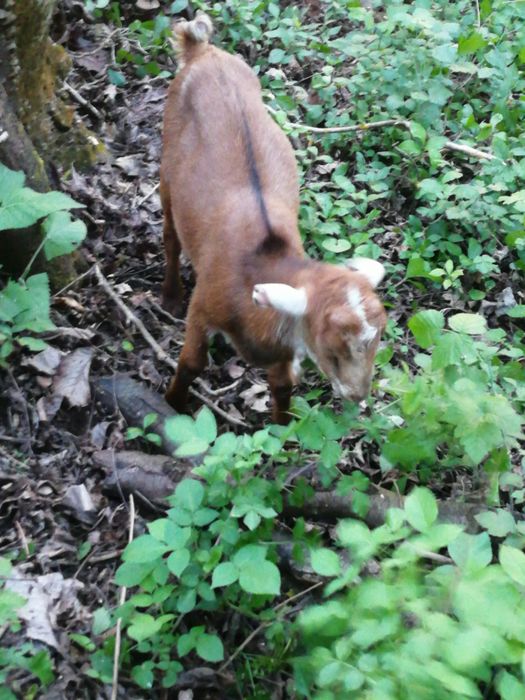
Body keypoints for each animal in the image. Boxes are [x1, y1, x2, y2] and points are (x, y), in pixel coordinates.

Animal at [160, 12, 387, 424]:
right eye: (333, 346)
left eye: (379, 336)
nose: (358, 395)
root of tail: (204, 51)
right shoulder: (203, 306)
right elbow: (192, 363)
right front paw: (174, 405)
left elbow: (282, 387)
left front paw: (283, 433)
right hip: (167, 164)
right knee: (170, 233)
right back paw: (169, 296)